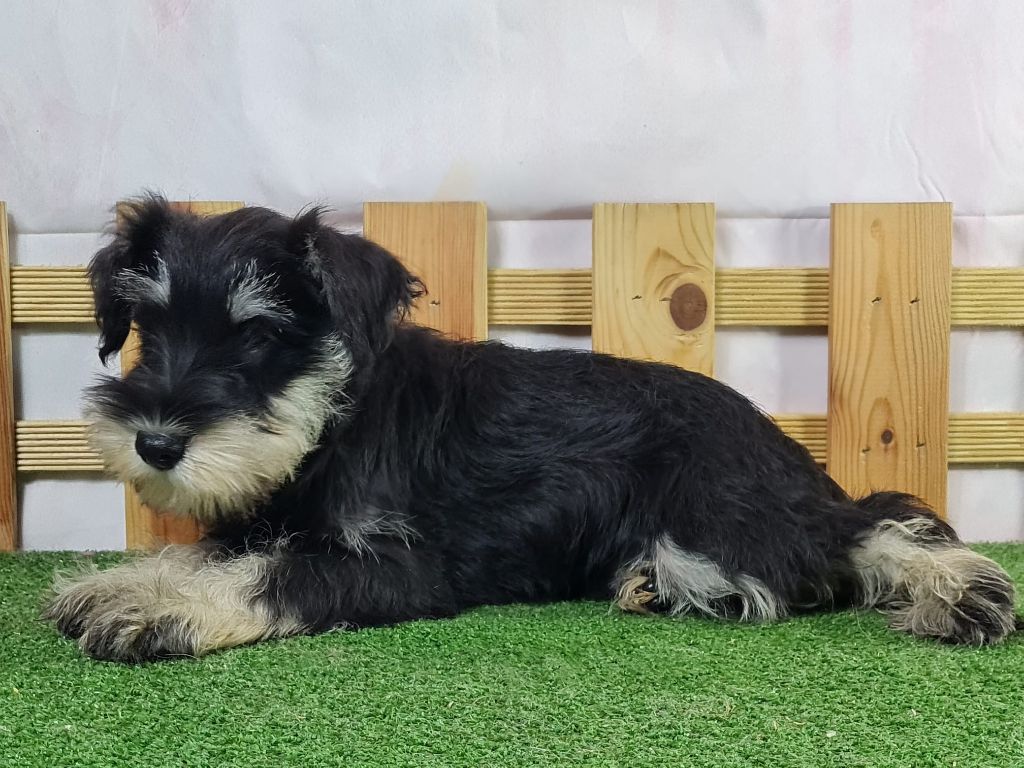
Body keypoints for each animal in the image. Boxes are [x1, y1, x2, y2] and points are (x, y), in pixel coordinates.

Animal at [44, 196, 1017, 663]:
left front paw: (156, 607)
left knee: (824, 563)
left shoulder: (402, 564)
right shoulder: (267, 513)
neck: (334, 420)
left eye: (257, 336)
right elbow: (222, 549)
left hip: (712, 518)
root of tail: (801, 470)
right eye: (146, 327)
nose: (157, 443)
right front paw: (125, 580)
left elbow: (273, 571)